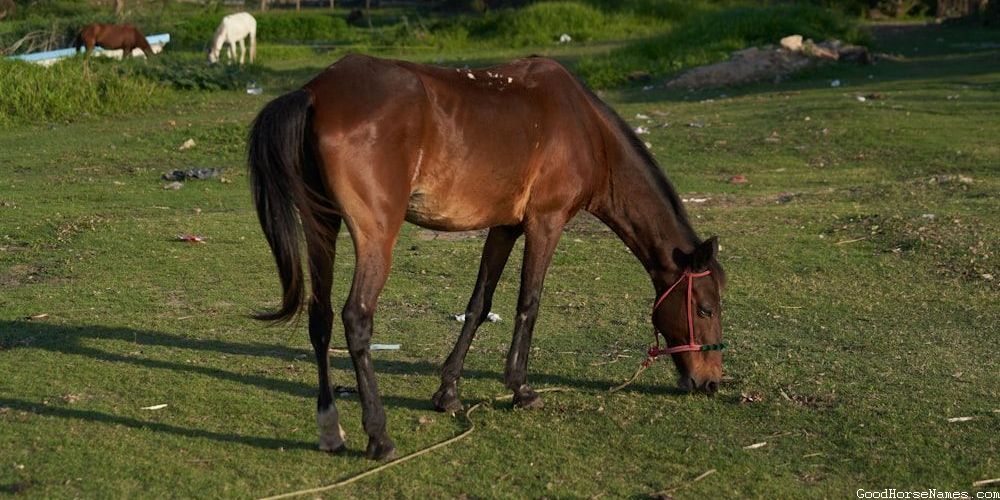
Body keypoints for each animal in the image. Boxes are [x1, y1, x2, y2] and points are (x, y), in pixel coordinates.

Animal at [248, 54, 726, 460]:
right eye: (705, 308)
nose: (711, 382)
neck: (586, 129)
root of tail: (315, 92)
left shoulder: (504, 227)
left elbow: (479, 304)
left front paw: (448, 392)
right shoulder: (545, 222)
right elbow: (528, 303)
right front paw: (520, 388)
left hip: (321, 224)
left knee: (321, 318)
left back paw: (330, 429)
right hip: (376, 235)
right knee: (356, 317)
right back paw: (378, 435)